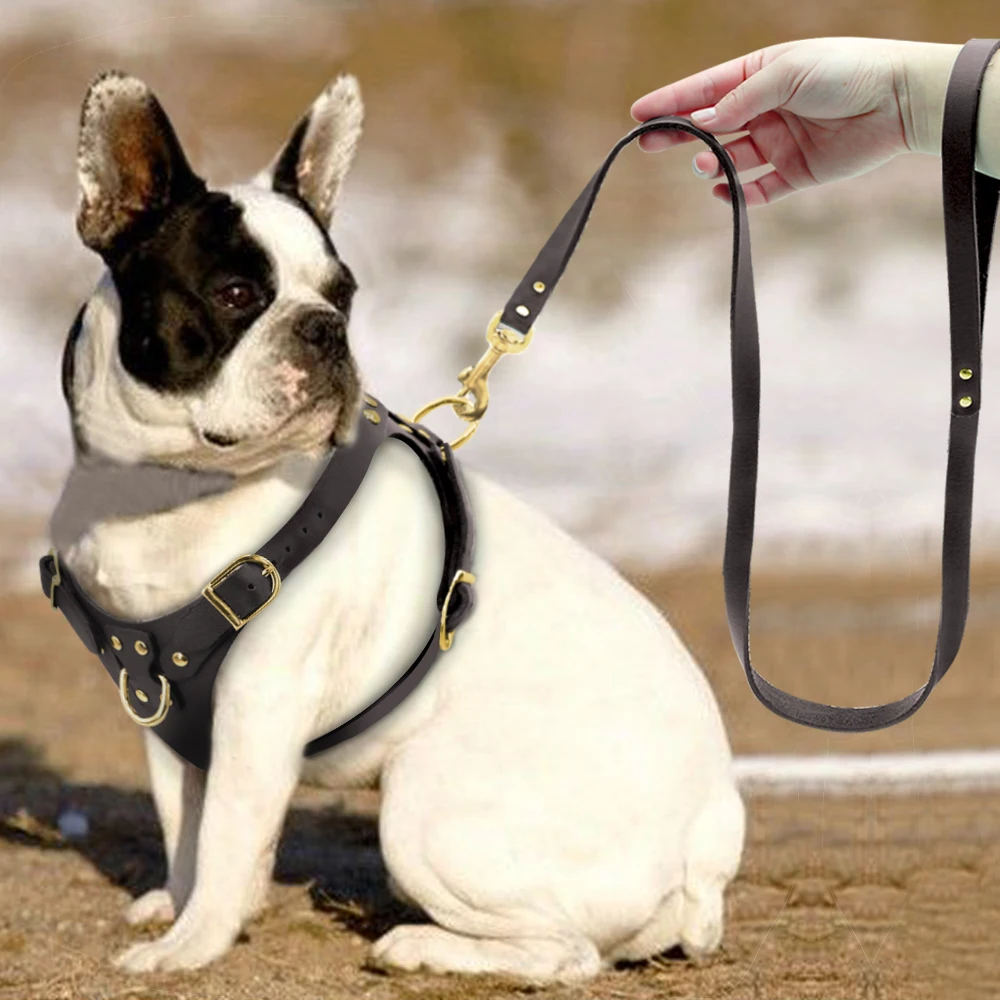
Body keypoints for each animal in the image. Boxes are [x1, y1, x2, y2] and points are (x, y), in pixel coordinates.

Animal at [54, 70, 748, 984]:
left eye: (343, 297)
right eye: (236, 294)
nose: (325, 328)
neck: (172, 487)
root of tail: (706, 854)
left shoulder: (258, 704)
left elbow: (230, 836)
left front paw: (189, 946)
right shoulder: (166, 717)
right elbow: (189, 830)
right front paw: (179, 903)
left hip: (425, 799)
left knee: (565, 953)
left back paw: (420, 946)